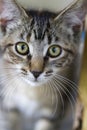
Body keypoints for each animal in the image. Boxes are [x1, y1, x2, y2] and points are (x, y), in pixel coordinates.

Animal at [0, 0, 86, 130]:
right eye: (22, 47)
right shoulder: (8, 107)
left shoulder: (54, 112)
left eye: (54, 50)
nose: (36, 72)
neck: (31, 91)